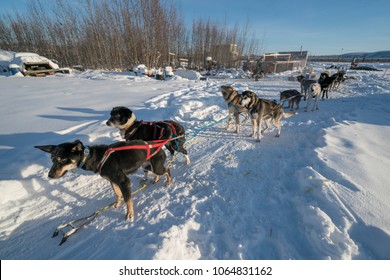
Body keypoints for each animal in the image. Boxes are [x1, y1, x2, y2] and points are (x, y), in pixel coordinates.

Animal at [34, 140, 171, 221]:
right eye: (52, 160)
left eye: (62, 160)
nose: (50, 175)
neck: (94, 157)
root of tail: (159, 146)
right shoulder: (112, 181)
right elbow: (117, 194)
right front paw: (117, 204)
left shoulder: (123, 181)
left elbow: (128, 199)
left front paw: (130, 214)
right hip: (147, 166)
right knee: (160, 172)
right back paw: (156, 179)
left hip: (156, 167)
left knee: (167, 169)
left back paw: (169, 182)